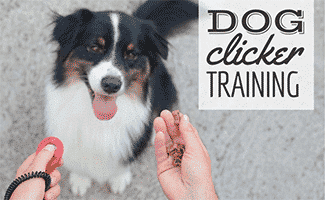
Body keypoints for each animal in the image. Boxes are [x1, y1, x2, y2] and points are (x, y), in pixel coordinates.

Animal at [44, 0, 196, 196]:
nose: (111, 85)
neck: (99, 120)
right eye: (95, 47)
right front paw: (80, 179)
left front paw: (119, 179)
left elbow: (124, 161)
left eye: (131, 54)